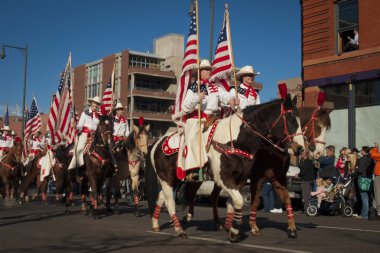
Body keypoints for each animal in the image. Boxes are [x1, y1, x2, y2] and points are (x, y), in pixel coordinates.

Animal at [144, 94, 304, 242]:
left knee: (163, 197)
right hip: (166, 178)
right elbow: (241, 201)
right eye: (289, 118)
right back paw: (179, 229)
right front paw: (236, 230)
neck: (235, 141)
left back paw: (156, 224)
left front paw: (233, 228)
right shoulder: (228, 178)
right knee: (170, 201)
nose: (300, 148)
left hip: (177, 178)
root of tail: (157, 142)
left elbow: (234, 203)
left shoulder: (244, 179)